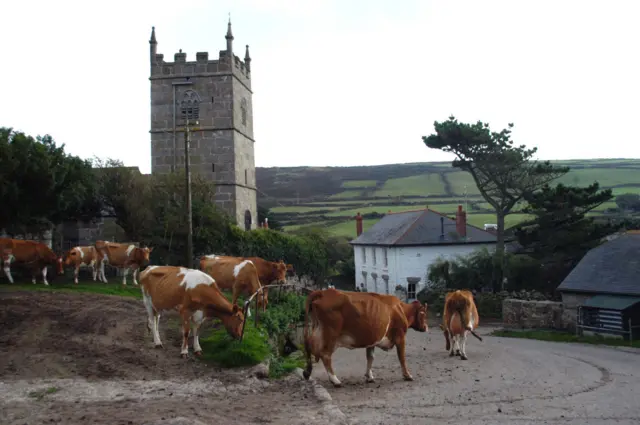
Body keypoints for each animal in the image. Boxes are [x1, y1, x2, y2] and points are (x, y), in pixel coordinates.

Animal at [302, 288, 430, 388]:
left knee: (308, 346)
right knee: (325, 355)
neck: (401, 309)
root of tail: (324, 292)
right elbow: (402, 357)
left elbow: (370, 357)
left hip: (317, 329)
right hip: (330, 335)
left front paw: (369, 376)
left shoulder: (372, 340)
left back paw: (307, 372)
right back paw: (335, 380)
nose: (426, 327)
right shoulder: (400, 336)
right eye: (423, 313)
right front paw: (407, 375)